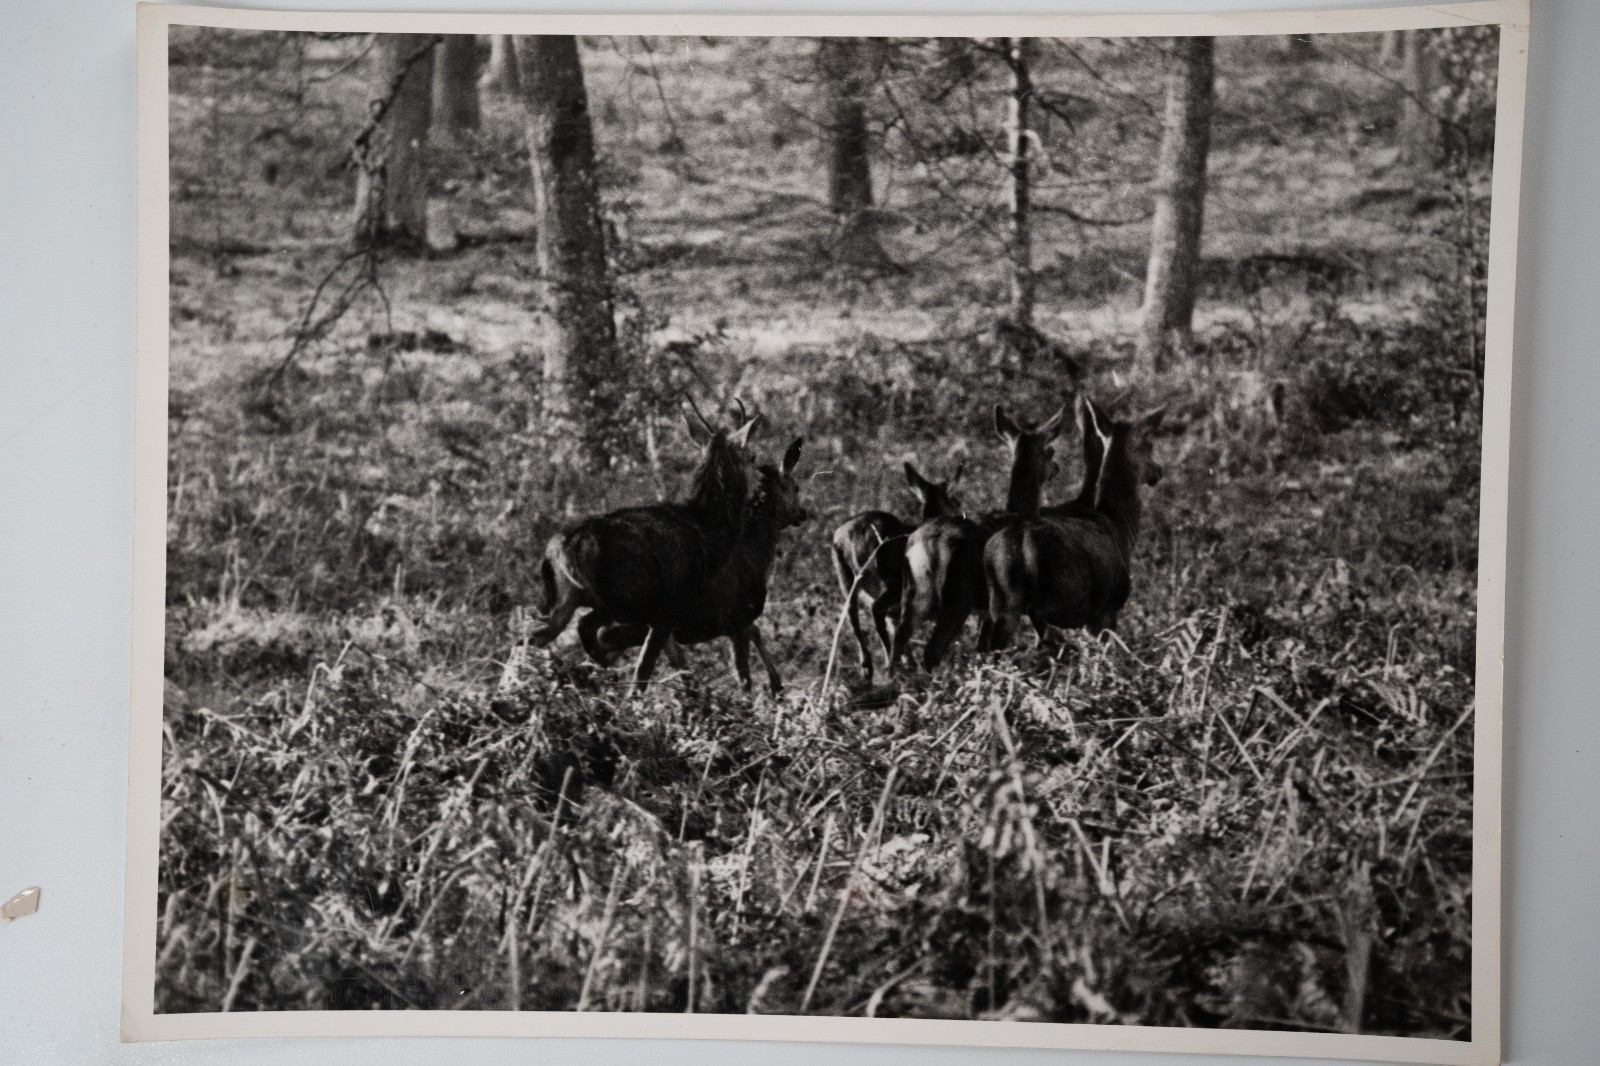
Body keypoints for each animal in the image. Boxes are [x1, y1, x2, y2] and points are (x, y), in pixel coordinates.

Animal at [530, 404, 761, 689]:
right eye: (752, 457)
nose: (759, 490)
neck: (710, 534)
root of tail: (563, 548)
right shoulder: (669, 607)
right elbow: (647, 667)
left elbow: (677, 665)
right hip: (619, 598)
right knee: (584, 627)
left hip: (565, 598)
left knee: (535, 636)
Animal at [583, 438, 809, 695]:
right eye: (796, 487)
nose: (803, 513)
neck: (756, 554)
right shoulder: (738, 618)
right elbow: (745, 676)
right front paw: (767, 690)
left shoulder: (729, 623)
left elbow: (756, 635)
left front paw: (777, 685)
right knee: (615, 648)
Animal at [831, 460, 965, 684]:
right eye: (955, 500)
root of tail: (850, 537)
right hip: (890, 582)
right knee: (876, 609)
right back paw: (890, 666)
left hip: (845, 578)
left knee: (852, 615)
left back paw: (868, 667)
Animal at [891, 403, 1065, 673]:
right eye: (1050, 450)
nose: (1056, 468)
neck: (1020, 511)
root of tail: (930, 546)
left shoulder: (986, 611)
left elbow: (982, 649)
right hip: (957, 598)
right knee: (932, 650)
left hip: (913, 594)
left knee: (898, 637)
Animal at [984, 395, 1166, 650]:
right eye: (1149, 444)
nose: (1158, 470)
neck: (1117, 521)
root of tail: (1021, 543)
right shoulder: (1108, 607)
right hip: (1065, 591)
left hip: (1001, 601)